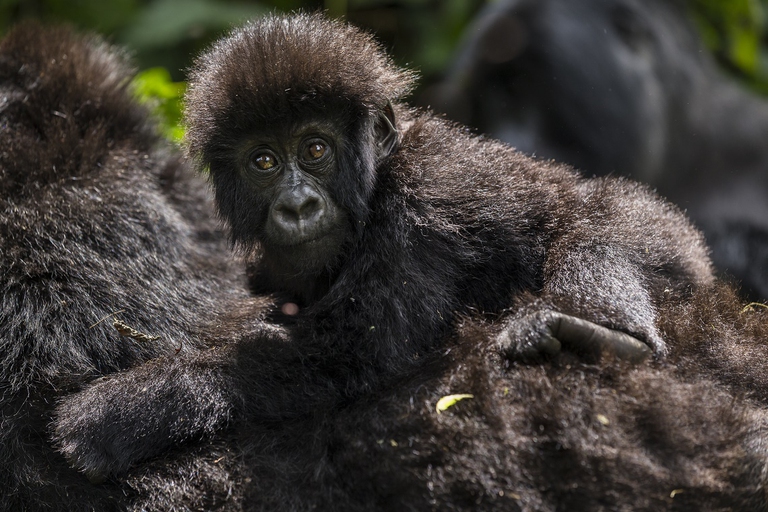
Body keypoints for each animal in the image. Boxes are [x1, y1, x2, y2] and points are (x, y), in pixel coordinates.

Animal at [51, 12, 721, 485]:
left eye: (316, 149)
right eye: (263, 161)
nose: (298, 206)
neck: (379, 175)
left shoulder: (422, 208)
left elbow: (352, 353)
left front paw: (130, 408)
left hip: (667, 236)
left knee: (605, 225)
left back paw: (600, 328)